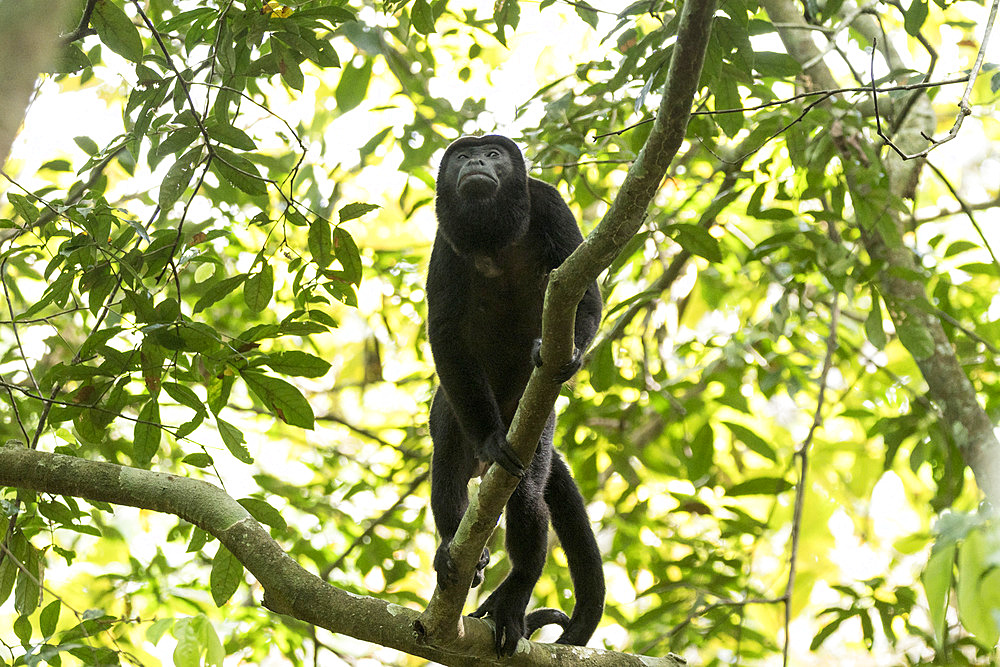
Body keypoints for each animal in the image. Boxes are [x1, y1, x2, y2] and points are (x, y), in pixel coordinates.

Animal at [428, 134, 604, 656]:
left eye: (493, 154)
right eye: (462, 156)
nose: (476, 161)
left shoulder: (549, 202)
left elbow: (586, 295)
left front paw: (563, 353)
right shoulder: (444, 239)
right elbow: (445, 329)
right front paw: (488, 440)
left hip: (537, 426)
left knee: (528, 496)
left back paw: (515, 593)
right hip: (455, 409)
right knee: (448, 466)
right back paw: (455, 548)